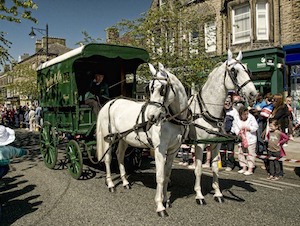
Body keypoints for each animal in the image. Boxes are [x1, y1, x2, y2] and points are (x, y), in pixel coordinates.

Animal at [96, 62, 189, 217]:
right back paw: (110, 184)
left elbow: (167, 175)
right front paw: (160, 206)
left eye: (162, 89)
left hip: (123, 138)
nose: (151, 117)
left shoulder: (173, 150)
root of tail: (110, 102)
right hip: (109, 138)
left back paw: (125, 182)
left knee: (119, 156)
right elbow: (160, 177)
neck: (172, 120)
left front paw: (166, 200)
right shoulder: (159, 149)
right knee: (108, 159)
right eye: (149, 88)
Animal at [189, 49, 256, 205]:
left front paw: (218, 193)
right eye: (234, 70)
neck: (206, 110)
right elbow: (198, 169)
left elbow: (215, 168)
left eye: (247, 69)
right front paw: (199, 195)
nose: (253, 94)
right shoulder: (199, 144)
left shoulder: (216, 144)